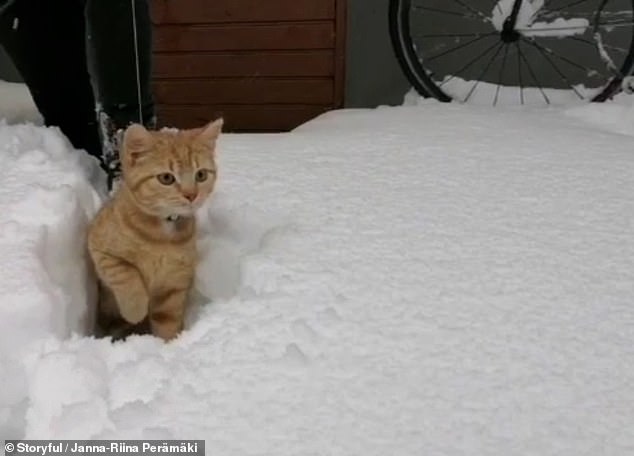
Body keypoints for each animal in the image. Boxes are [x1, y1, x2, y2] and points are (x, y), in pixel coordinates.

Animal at [85, 119, 221, 340]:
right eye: (166, 178)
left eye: (201, 175)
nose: (191, 195)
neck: (161, 236)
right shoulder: (100, 249)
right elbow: (126, 274)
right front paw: (135, 309)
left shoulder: (174, 284)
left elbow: (167, 320)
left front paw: (168, 344)